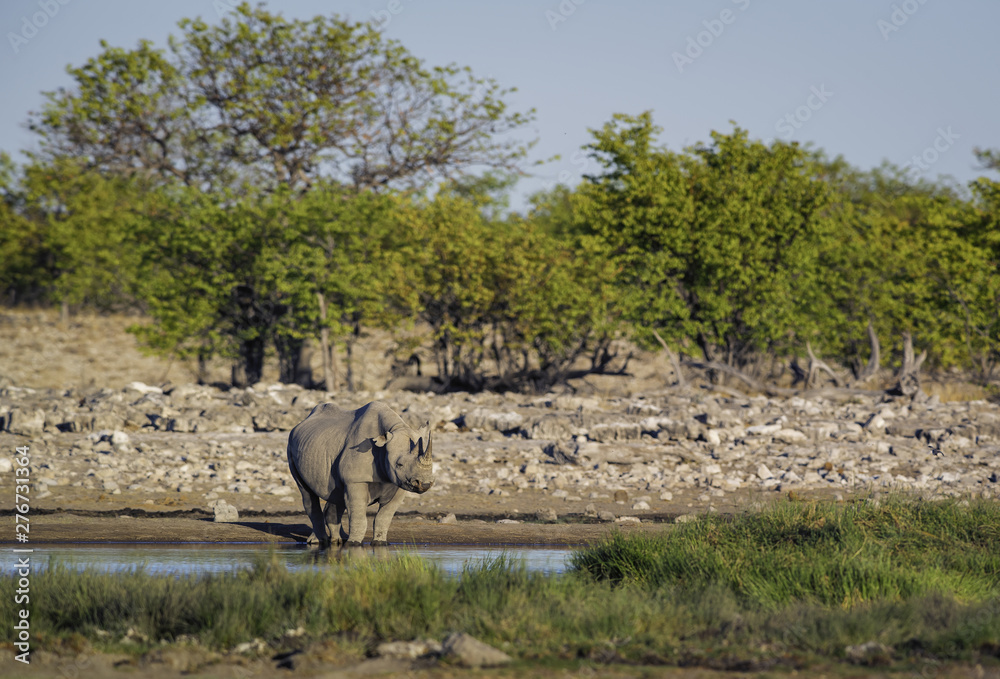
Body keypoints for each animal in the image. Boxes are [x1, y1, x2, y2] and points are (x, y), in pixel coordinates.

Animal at [286, 401, 434, 547]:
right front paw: (353, 543)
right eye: (399, 464)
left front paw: (379, 542)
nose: (425, 484)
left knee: (336, 494)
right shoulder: (355, 480)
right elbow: (358, 515)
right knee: (307, 493)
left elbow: (384, 516)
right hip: (291, 445)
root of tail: (302, 422)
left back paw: (339, 539)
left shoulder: (400, 483)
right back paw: (318, 542)